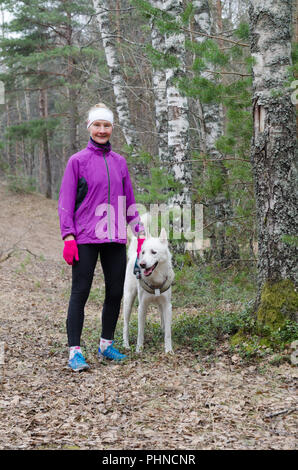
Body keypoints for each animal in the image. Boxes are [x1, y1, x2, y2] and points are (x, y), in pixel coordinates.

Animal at [123, 222, 175, 350]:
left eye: (153, 252)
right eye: (143, 252)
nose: (142, 264)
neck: (155, 280)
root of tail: (133, 256)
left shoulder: (167, 306)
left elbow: (168, 332)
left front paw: (168, 350)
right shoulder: (142, 306)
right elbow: (140, 332)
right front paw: (139, 349)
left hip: (160, 304)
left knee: (162, 319)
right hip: (128, 301)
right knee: (125, 325)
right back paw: (125, 345)